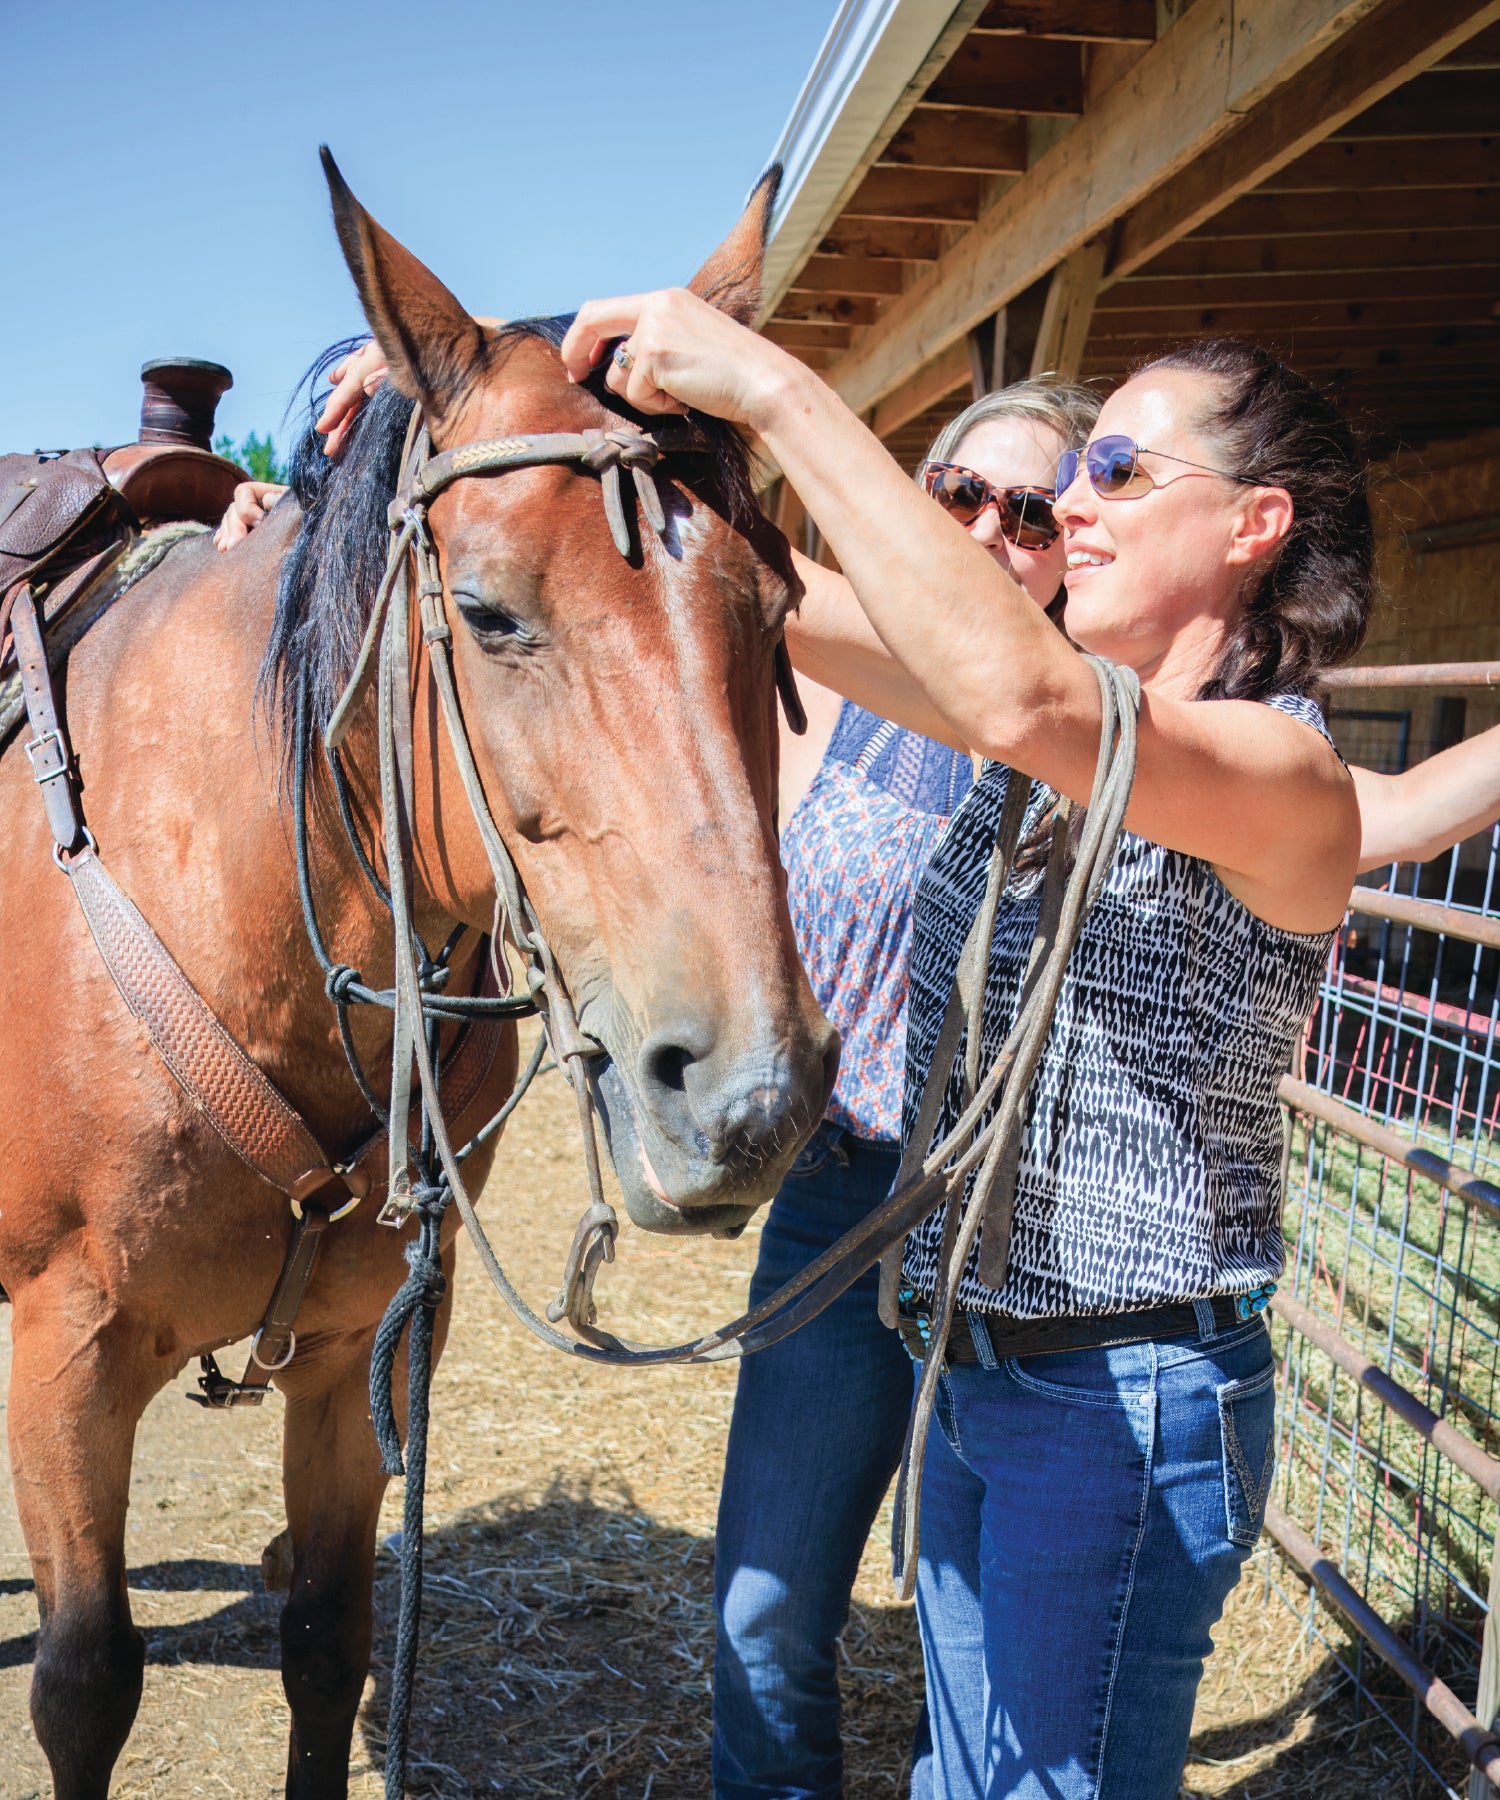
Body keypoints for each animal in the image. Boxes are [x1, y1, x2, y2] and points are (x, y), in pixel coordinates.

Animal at [0, 160, 837, 1799]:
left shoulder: (365, 1346)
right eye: (494, 612)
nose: (748, 1096)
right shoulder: (64, 1355)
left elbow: (329, 1637)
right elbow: (83, 1684)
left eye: (775, 615)